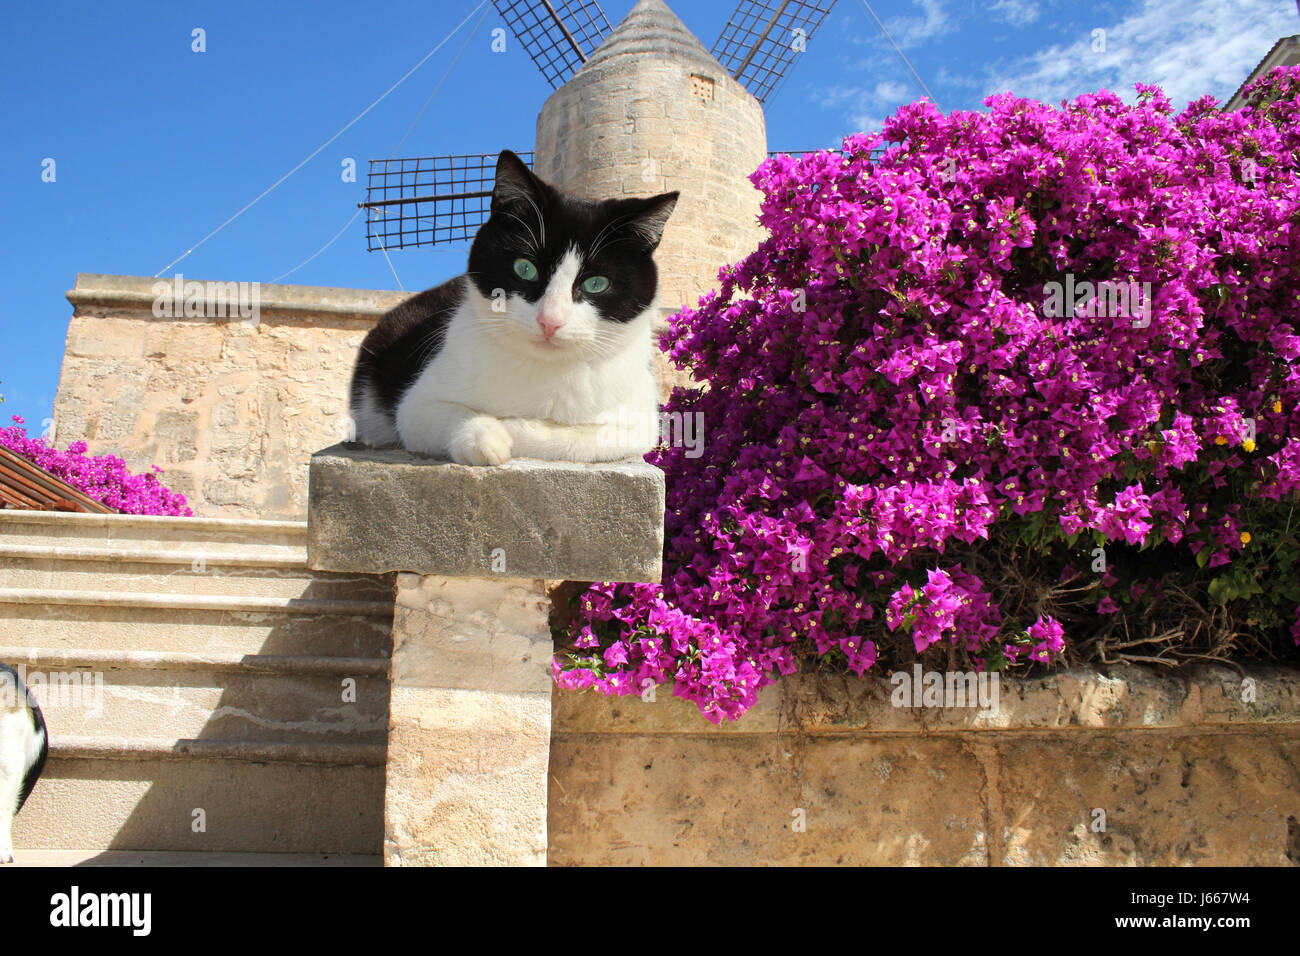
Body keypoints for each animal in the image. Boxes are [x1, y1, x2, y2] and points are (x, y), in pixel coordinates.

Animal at [351, 147, 676, 465]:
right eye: (525, 268)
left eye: (596, 283)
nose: (550, 320)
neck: (541, 370)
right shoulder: (417, 404)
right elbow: (440, 412)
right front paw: (483, 435)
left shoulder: (641, 419)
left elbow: (583, 435)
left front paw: (510, 427)